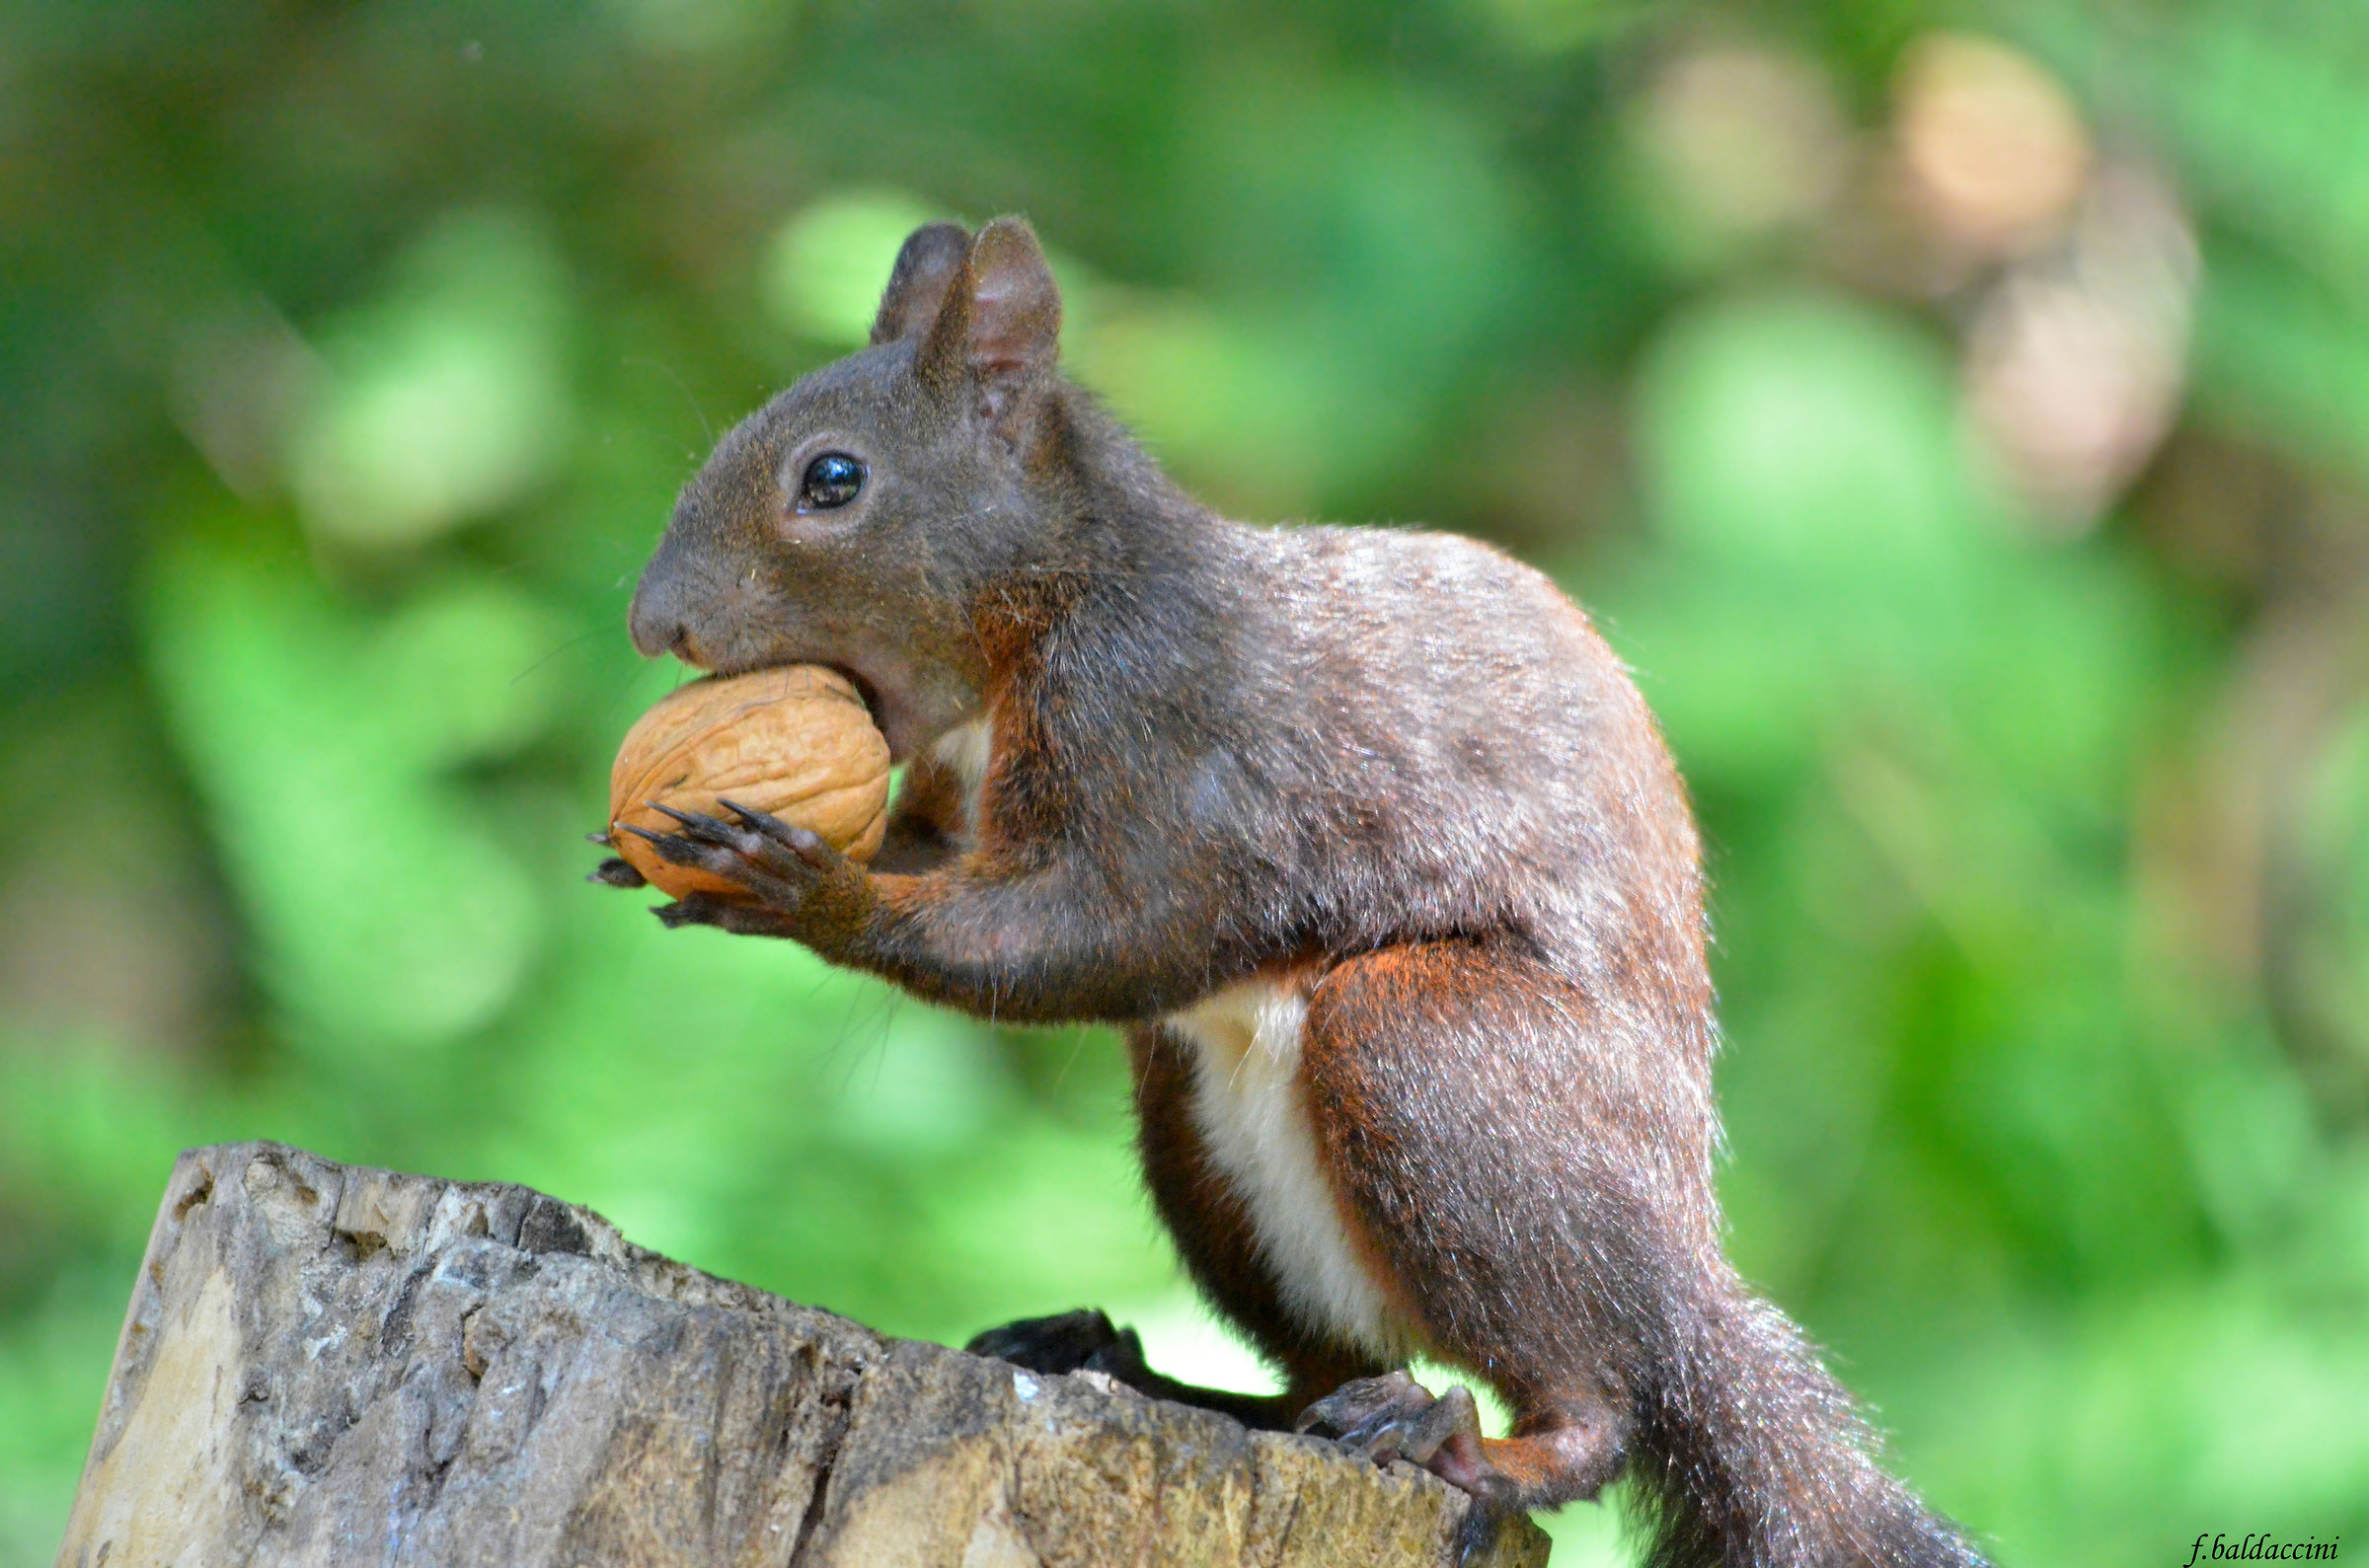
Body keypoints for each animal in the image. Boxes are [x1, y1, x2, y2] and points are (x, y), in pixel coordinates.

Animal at [595, 216, 1989, 1568]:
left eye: (833, 480)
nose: (652, 622)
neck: (1041, 614)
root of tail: (1681, 1261)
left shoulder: (1173, 747)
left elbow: (1088, 929)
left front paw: (805, 886)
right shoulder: (956, 802)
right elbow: (960, 877)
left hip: (1436, 1055)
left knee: (1597, 1403)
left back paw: (1474, 1446)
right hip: (1202, 1149)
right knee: (1317, 1374)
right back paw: (1148, 1374)